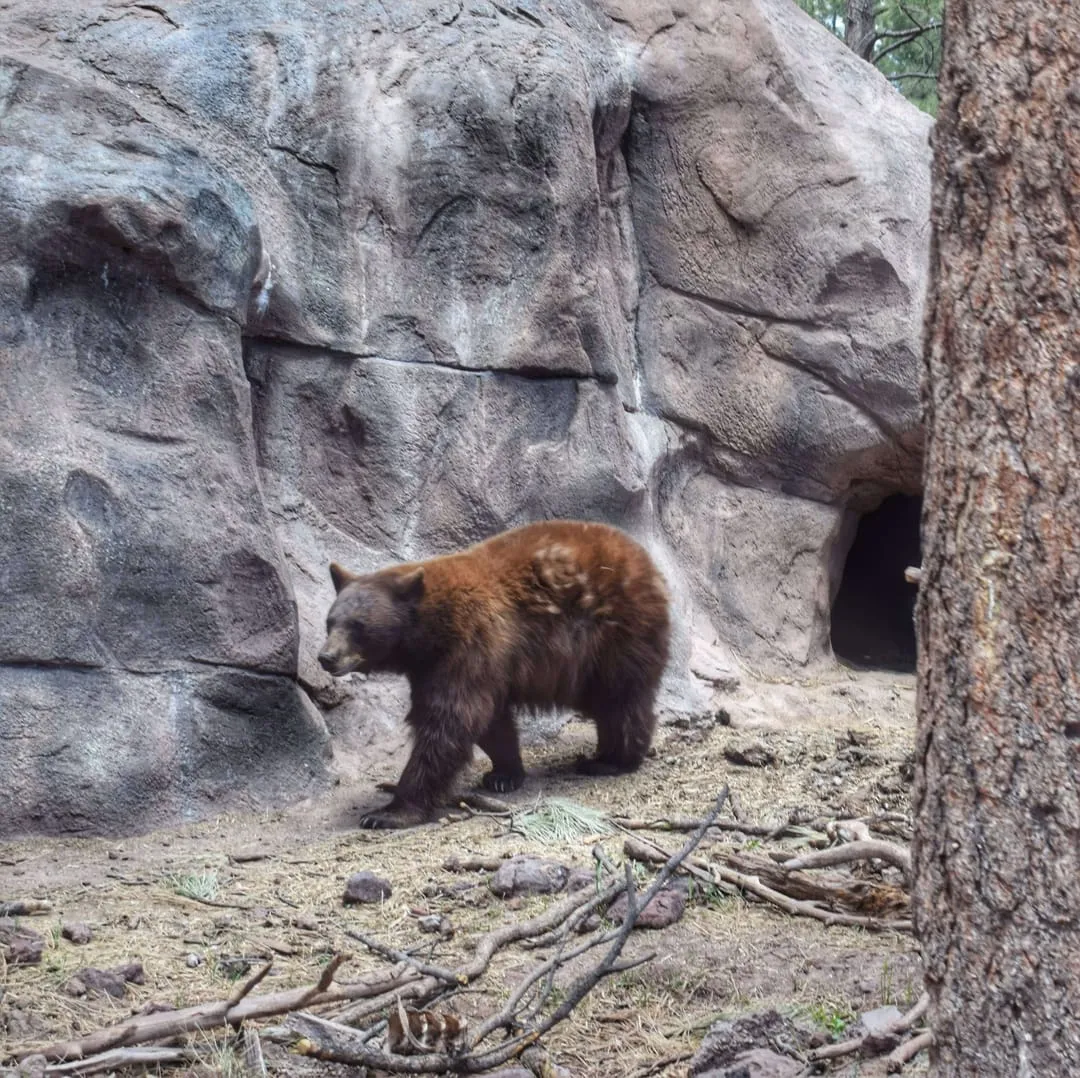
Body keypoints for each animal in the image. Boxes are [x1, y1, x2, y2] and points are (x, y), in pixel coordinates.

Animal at [318, 520, 671, 829]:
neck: (430, 629)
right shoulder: (445, 664)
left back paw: (613, 759)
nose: (326, 657)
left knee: (619, 698)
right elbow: (489, 721)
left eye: (358, 626)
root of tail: (647, 561)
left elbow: (449, 720)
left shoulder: (469, 644)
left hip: (613, 634)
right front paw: (504, 774)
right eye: (330, 621)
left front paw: (388, 812)